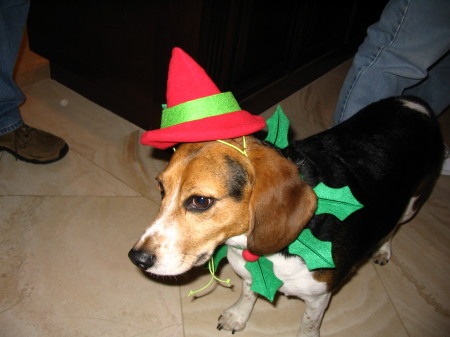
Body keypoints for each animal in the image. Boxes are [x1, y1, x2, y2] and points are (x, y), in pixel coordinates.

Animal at [129, 96, 442, 334]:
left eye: (200, 201)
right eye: (161, 188)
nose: (137, 258)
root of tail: (416, 102)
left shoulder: (319, 297)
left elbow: (308, 324)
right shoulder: (250, 274)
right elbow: (248, 293)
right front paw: (238, 315)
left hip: (412, 202)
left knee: (393, 227)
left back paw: (382, 249)